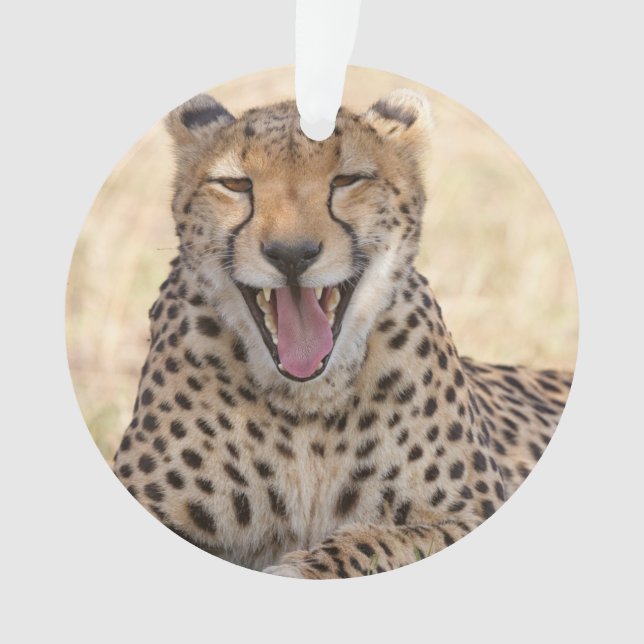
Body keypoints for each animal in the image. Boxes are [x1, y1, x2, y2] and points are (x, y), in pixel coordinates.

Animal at [112, 89, 572, 579]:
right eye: (235, 185)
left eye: (348, 180)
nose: (291, 254)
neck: (306, 406)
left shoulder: (466, 515)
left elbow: (377, 542)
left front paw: (299, 569)